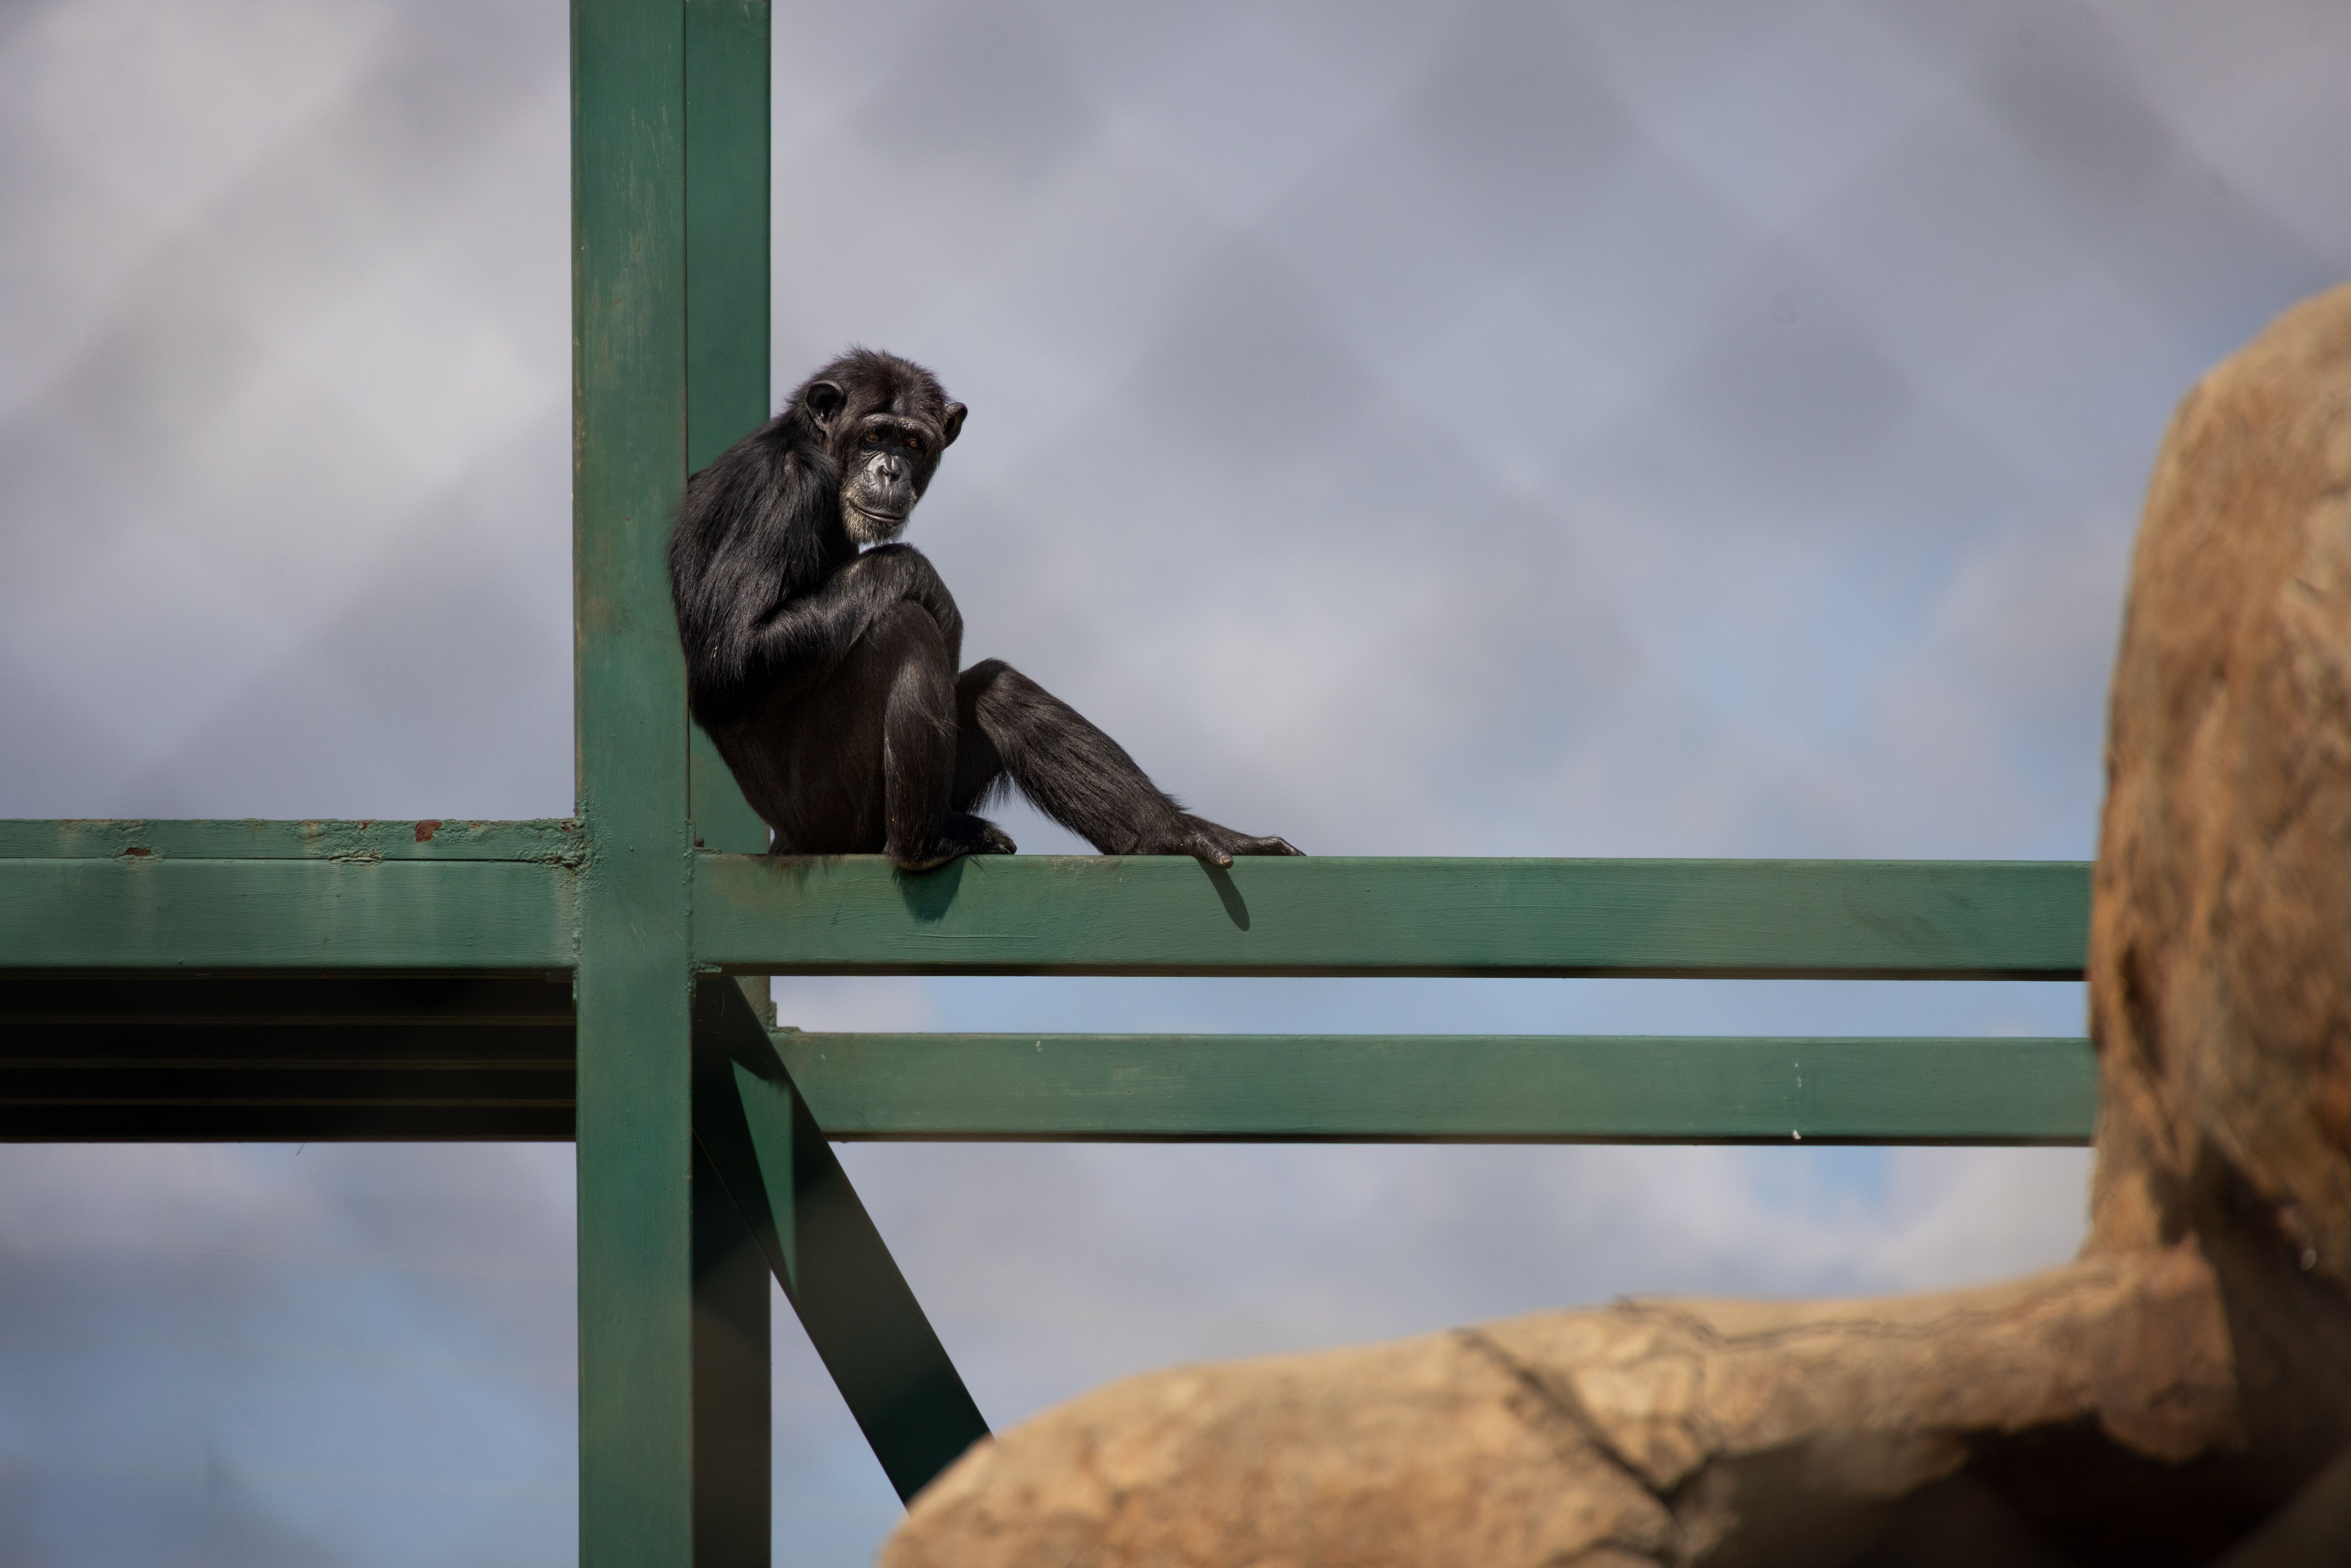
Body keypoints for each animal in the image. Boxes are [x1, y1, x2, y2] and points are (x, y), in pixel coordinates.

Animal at [669, 348, 1301, 872]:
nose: (890, 469)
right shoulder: (782, 492)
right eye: (875, 436)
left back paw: (1170, 835)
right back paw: (924, 844)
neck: (812, 450)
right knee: (905, 628)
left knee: (1001, 691)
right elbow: (733, 658)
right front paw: (915, 573)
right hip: (836, 818)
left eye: (913, 444)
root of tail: (789, 842)